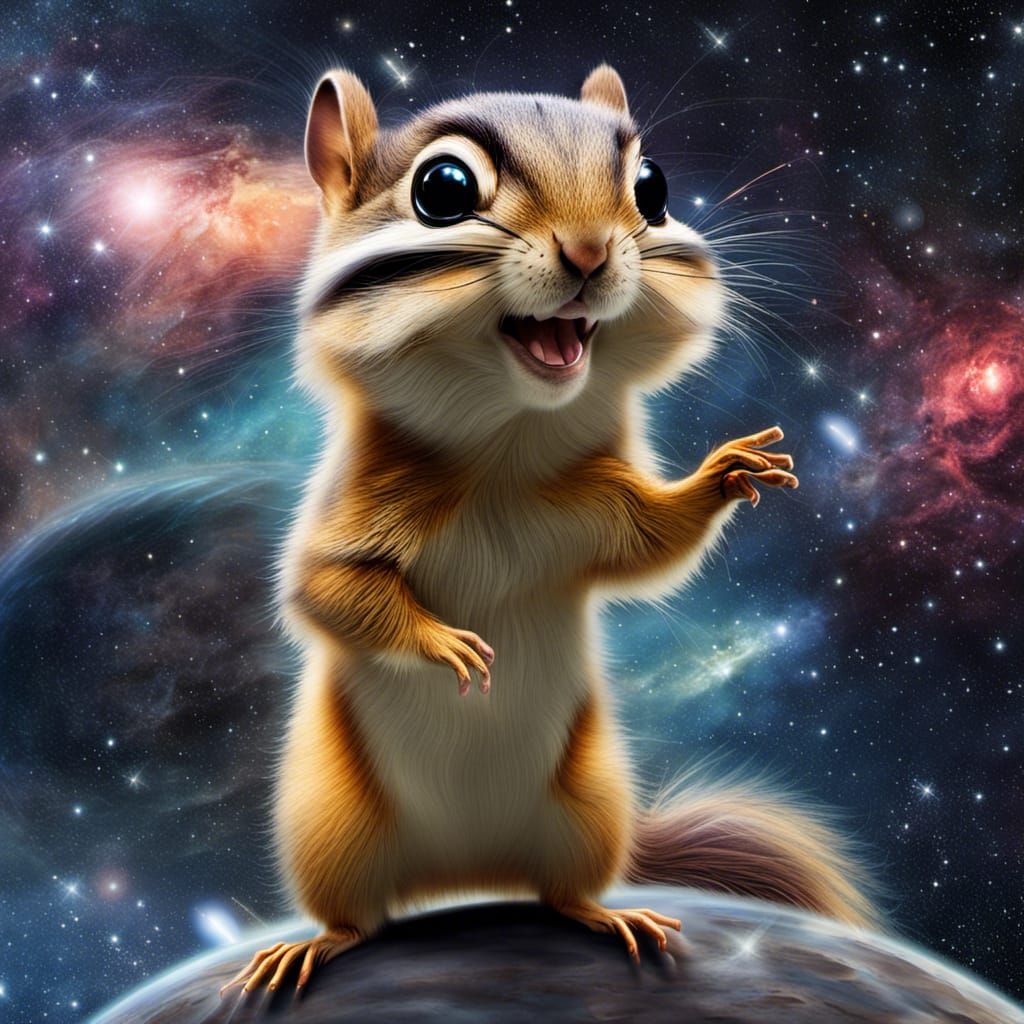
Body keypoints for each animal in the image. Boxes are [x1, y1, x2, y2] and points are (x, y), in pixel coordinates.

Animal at [222, 64, 877, 996]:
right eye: (442, 188)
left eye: (653, 188)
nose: (592, 251)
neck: (508, 445)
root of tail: (465, 876)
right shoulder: (355, 510)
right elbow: (327, 590)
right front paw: (446, 643)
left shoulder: (599, 508)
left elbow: (654, 546)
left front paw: (727, 471)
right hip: (331, 825)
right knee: (356, 917)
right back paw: (315, 944)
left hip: (586, 804)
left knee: (567, 893)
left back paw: (612, 916)